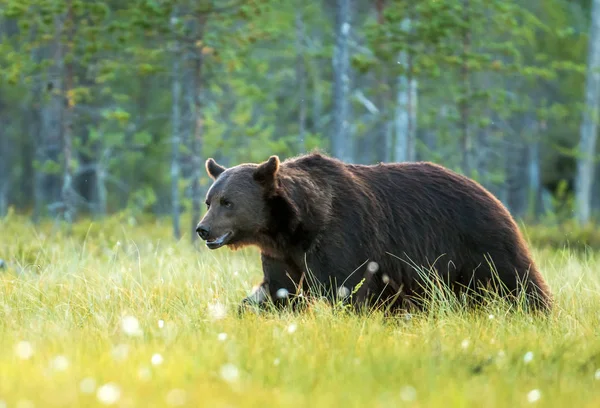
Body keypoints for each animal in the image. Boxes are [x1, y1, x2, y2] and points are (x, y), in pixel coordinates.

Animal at [197, 151, 552, 314]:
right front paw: (246, 311)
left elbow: (344, 287)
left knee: (516, 282)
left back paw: (538, 313)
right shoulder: (283, 254)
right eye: (209, 200)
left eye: (228, 202)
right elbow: (278, 290)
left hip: (479, 242)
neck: (293, 227)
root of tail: (491, 195)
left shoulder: (342, 237)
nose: (203, 229)